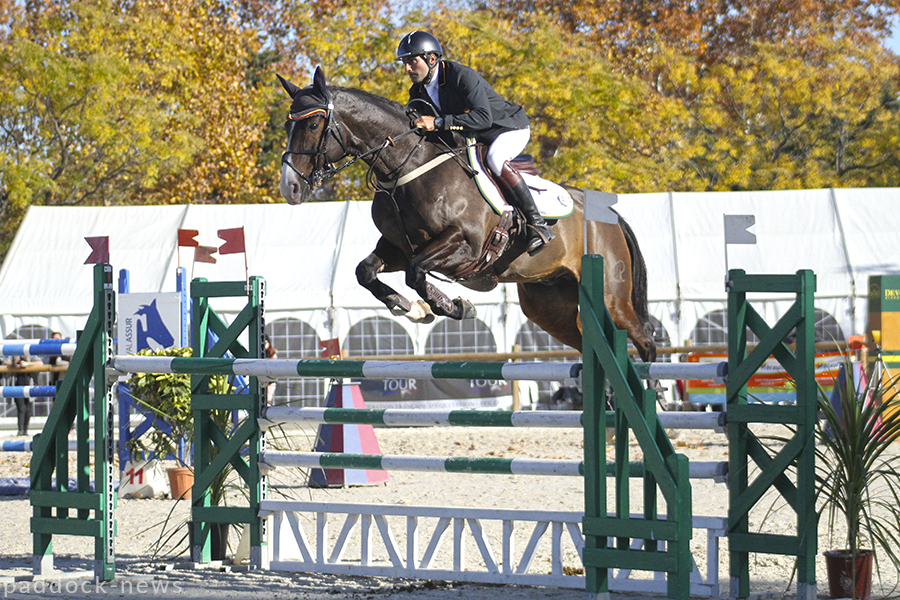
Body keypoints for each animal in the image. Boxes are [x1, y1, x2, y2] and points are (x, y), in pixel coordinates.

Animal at [278, 68, 656, 364]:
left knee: (644, 338)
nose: (290, 188)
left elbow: (416, 272)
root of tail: (608, 216)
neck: (406, 167)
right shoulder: (399, 246)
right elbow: (366, 271)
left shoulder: (464, 246)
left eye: (313, 124)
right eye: (287, 125)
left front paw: (453, 306)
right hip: (548, 304)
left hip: (611, 297)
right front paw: (408, 308)